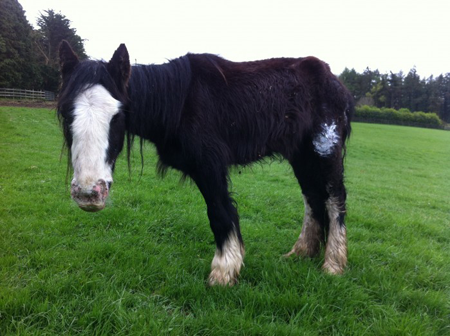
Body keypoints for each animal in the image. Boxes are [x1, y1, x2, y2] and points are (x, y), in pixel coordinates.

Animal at [57, 40, 352, 286]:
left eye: (117, 115)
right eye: (65, 113)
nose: (88, 193)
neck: (179, 103)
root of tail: (334, 81)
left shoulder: (210, 166)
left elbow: (219, 213)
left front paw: (224, 273)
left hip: (324, 151)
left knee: (334, 199)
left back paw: (333, 265)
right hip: (301, 155)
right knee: (312, 198)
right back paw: (302, 253)